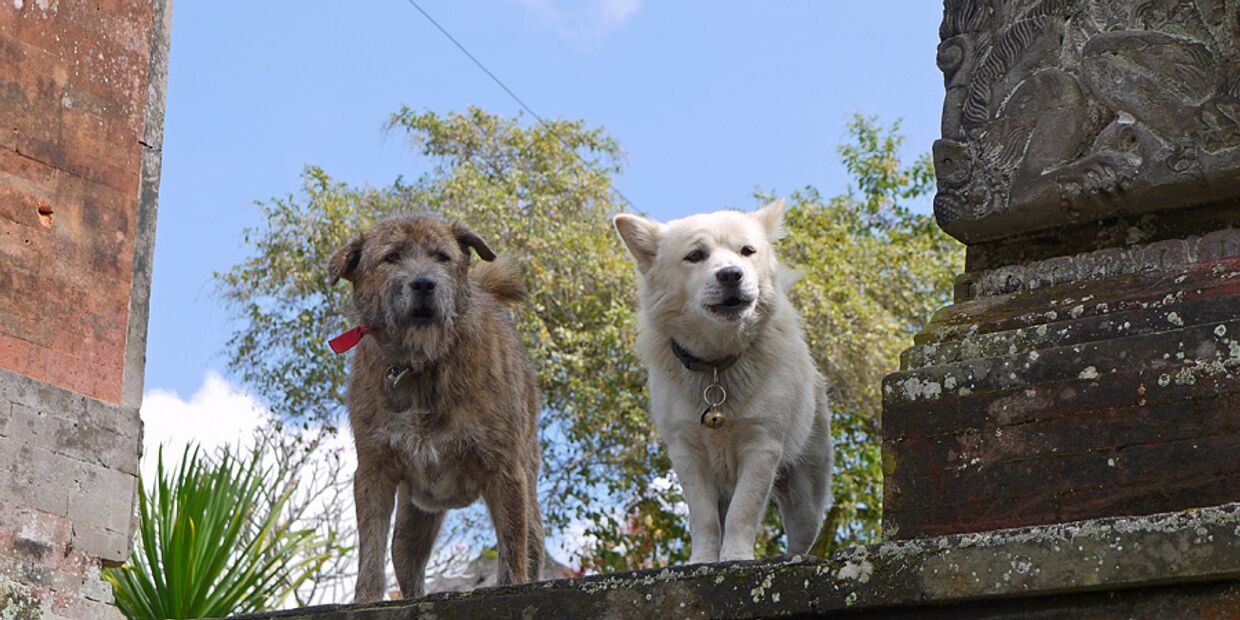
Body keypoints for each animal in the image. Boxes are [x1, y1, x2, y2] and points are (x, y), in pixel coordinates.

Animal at [329, 214, 543, 600]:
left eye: (442, 256)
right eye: (391, 257)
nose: (424, 283)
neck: (421, 365)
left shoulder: (504, 470)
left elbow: (512, 555)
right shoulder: (374, 470)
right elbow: (370, 552)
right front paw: (365, 600)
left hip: (526, 492)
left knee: (529, 546)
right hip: (412, 521)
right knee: (405, 563)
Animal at [612, 200, 833, 565]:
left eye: (747, 251)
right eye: (695, 255)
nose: (731, 274)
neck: (717, 362)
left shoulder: (761, 446)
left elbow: (743, 512)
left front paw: (736, 556)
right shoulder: (687, 452)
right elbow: (704, 518)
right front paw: (703, 560)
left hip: (805, 499)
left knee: (801, 537)